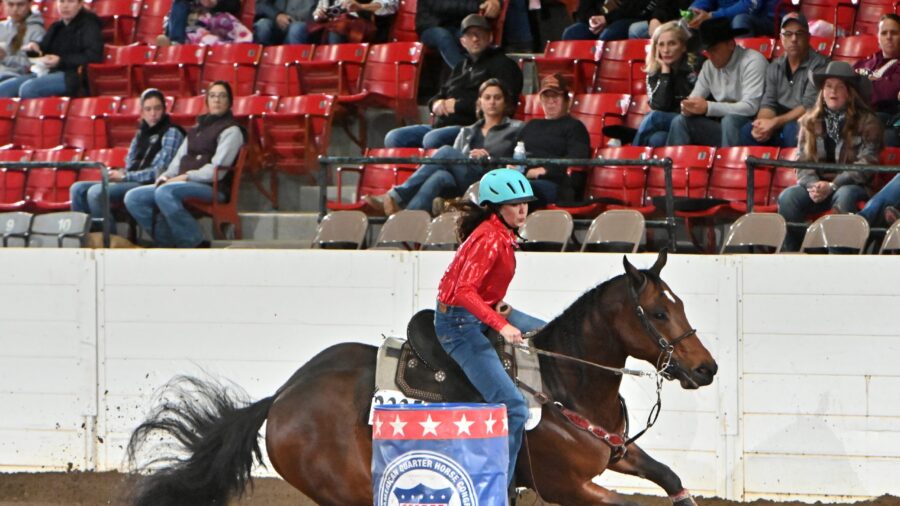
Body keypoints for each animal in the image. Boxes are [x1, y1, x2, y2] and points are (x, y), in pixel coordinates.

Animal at [126, 249, 718, 506]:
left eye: (682, 304)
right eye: (658, 313)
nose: (706, 368)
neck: (563, 383)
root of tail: (281, 399)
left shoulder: (618, 453)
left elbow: (671, 480)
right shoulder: (566, 487)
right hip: (348, 490)